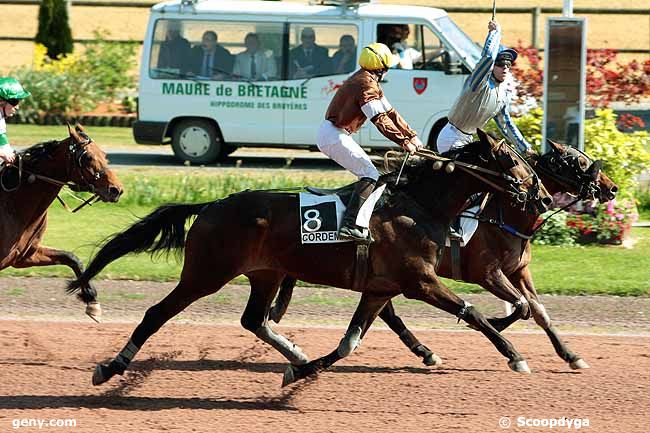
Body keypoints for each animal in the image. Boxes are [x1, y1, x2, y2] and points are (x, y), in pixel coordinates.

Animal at [0, 125, 123, 320]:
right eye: (87, 157)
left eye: (104, 154)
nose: (116, 189)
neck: (13, 202)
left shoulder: (25, 255)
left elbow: (72, 258)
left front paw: (92, 301)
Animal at [68, 130, 548, 386]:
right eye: (509, 159)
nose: (540, 195)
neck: (419, 205)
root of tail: (212, 205)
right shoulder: (420, 281)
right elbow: (475, 313)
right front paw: (514, 355)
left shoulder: (380, 289)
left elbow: (350, 341)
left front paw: (301, 372)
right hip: (206, 273)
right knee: (157, 313)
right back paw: (111, 367)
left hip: (265, 274)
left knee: (255, 319)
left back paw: (295, 355)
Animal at [270, 141, 616, 368]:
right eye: (577, 162)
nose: (611, 188)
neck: (505, 214)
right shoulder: (486, 273)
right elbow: (521, 307)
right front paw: (496, 326)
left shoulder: (518, 270)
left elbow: (538, 310)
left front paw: (570, 355)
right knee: (387, 311)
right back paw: (425, 350)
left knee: (386, 311)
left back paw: (424, 351)